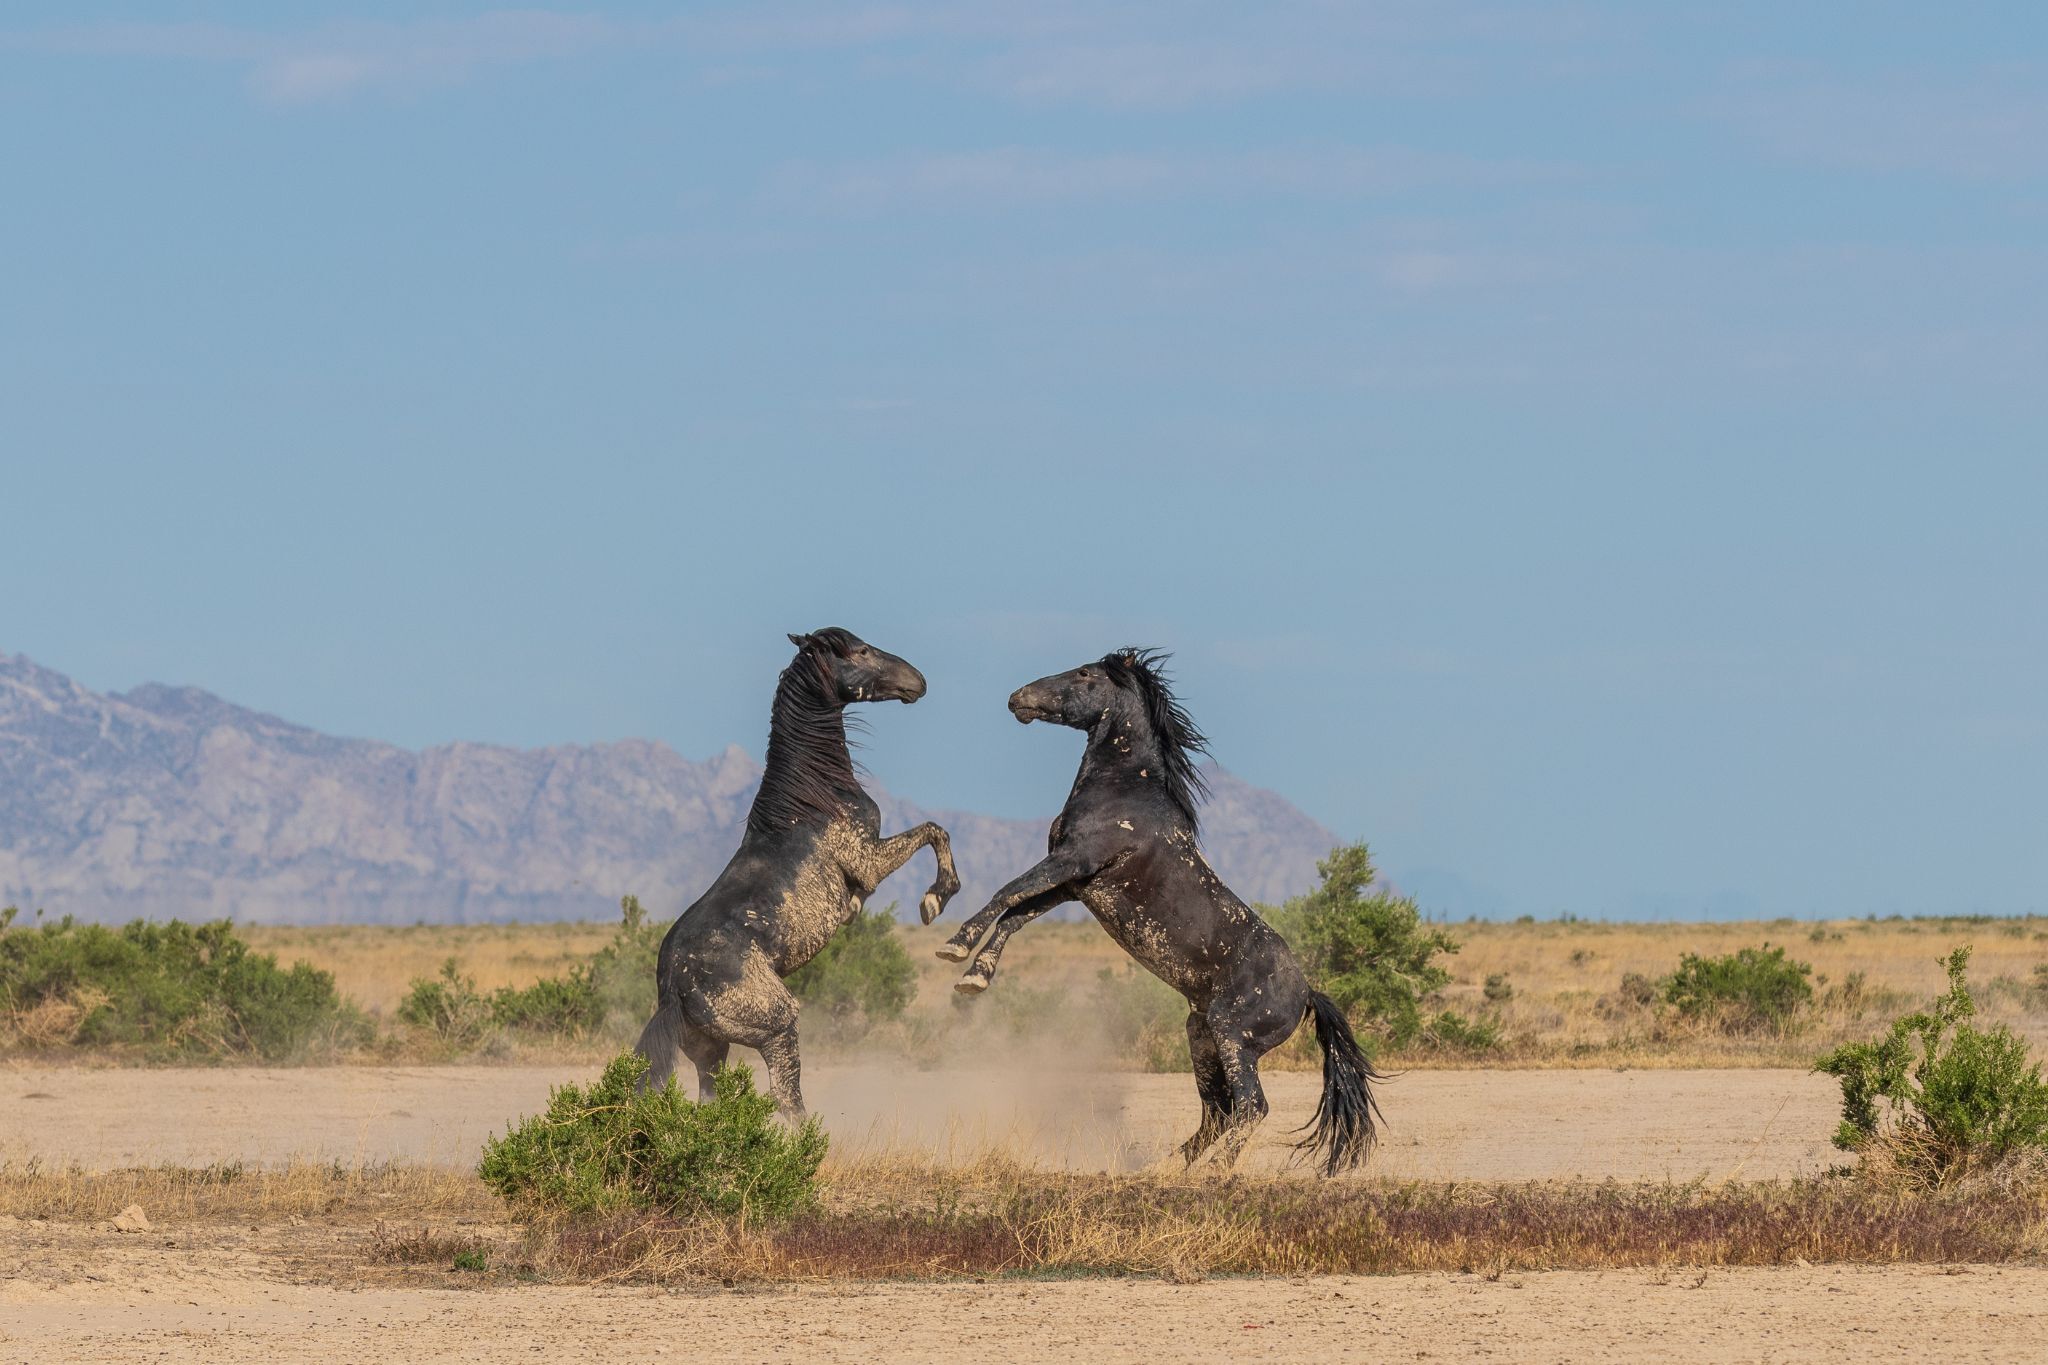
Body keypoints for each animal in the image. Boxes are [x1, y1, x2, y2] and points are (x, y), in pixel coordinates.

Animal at [635, 628, 962, 1117]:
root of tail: (674, 988)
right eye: (860, 650)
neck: (811, 799)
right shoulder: (868, 859)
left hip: (710, 1051)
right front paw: (934, 900)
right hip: (777, 1025)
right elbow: (933, 831)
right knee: (788, 1101)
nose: (916, 681)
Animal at [933, 649, 1380, 1174]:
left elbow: (1005, 894)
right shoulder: (1073, 886)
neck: (1125, 792)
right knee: (1216, 1112)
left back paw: (1213, 1172)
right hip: (1201, 1036)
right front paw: (974, 977)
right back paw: (1163, 1170)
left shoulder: (1073, 861)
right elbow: (1015, 914)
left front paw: (952, 942)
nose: (1017, 698)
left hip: (1233, 1035)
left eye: (1084, 673)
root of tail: (1307, 992)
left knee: (1251, 1106)